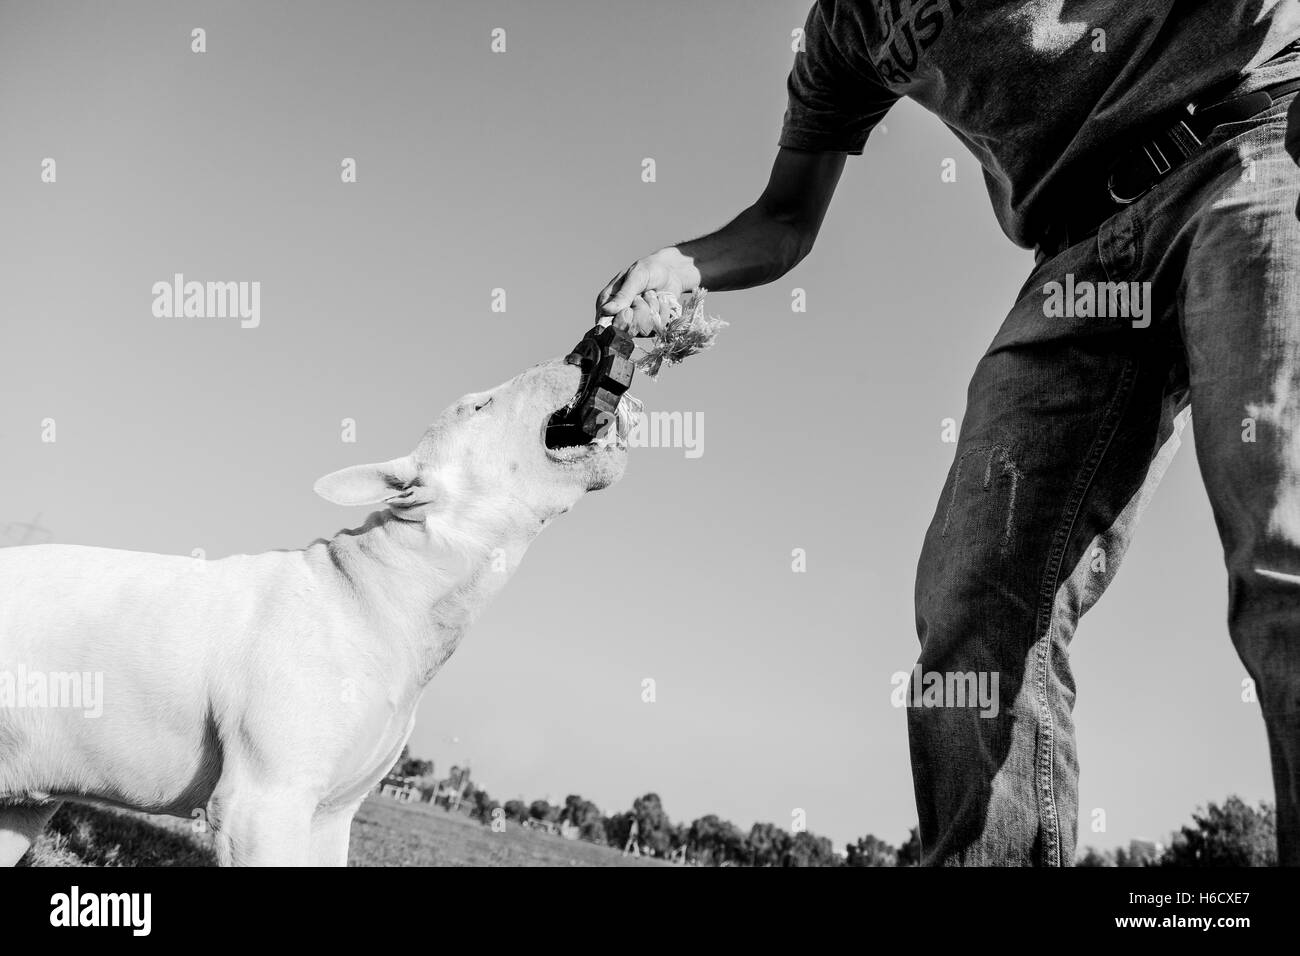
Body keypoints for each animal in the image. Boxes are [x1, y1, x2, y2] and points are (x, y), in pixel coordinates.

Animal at [0, 358, 634, 868]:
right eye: (478, 405)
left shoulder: (331, 815)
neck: (380, 594)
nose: (577, 354)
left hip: (20, 802)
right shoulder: (262, 803)